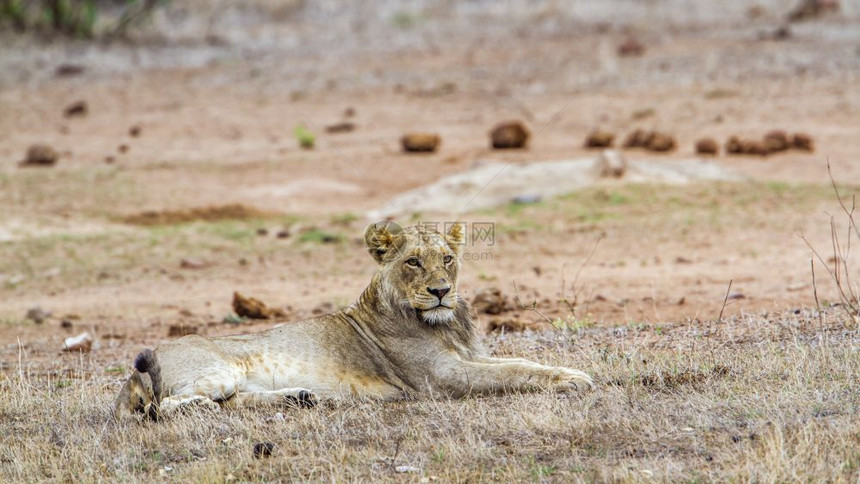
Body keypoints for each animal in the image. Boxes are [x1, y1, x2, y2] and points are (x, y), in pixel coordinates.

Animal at [117, 221, 596, 418]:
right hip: (218, 369)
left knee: (234, 402)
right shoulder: (441, 377)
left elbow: (523, 363)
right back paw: (197, 407)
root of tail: (127, 381)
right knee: (169, 405)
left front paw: (571, 372)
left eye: (447, 258)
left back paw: (301, 398)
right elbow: (514, 372)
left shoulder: (471, 357)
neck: (446, 324)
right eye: (413, 262)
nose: (441, 291)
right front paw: (573, 380)